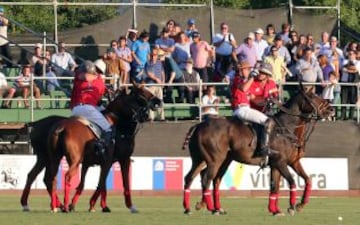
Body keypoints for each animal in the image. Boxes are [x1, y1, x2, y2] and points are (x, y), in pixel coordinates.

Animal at [183, 84, 334, 216]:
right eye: (312, 96)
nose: (331, 109)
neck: (287, 127)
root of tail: (199, 125)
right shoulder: (280, 162)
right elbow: (291, 182)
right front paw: (291, 207)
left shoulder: (289, 162)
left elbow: (294, 183)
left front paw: (283, 209)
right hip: (215, 160)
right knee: (206, 179)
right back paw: (210, 208)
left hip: (208, 159)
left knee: (196, 177)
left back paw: (195, 208)